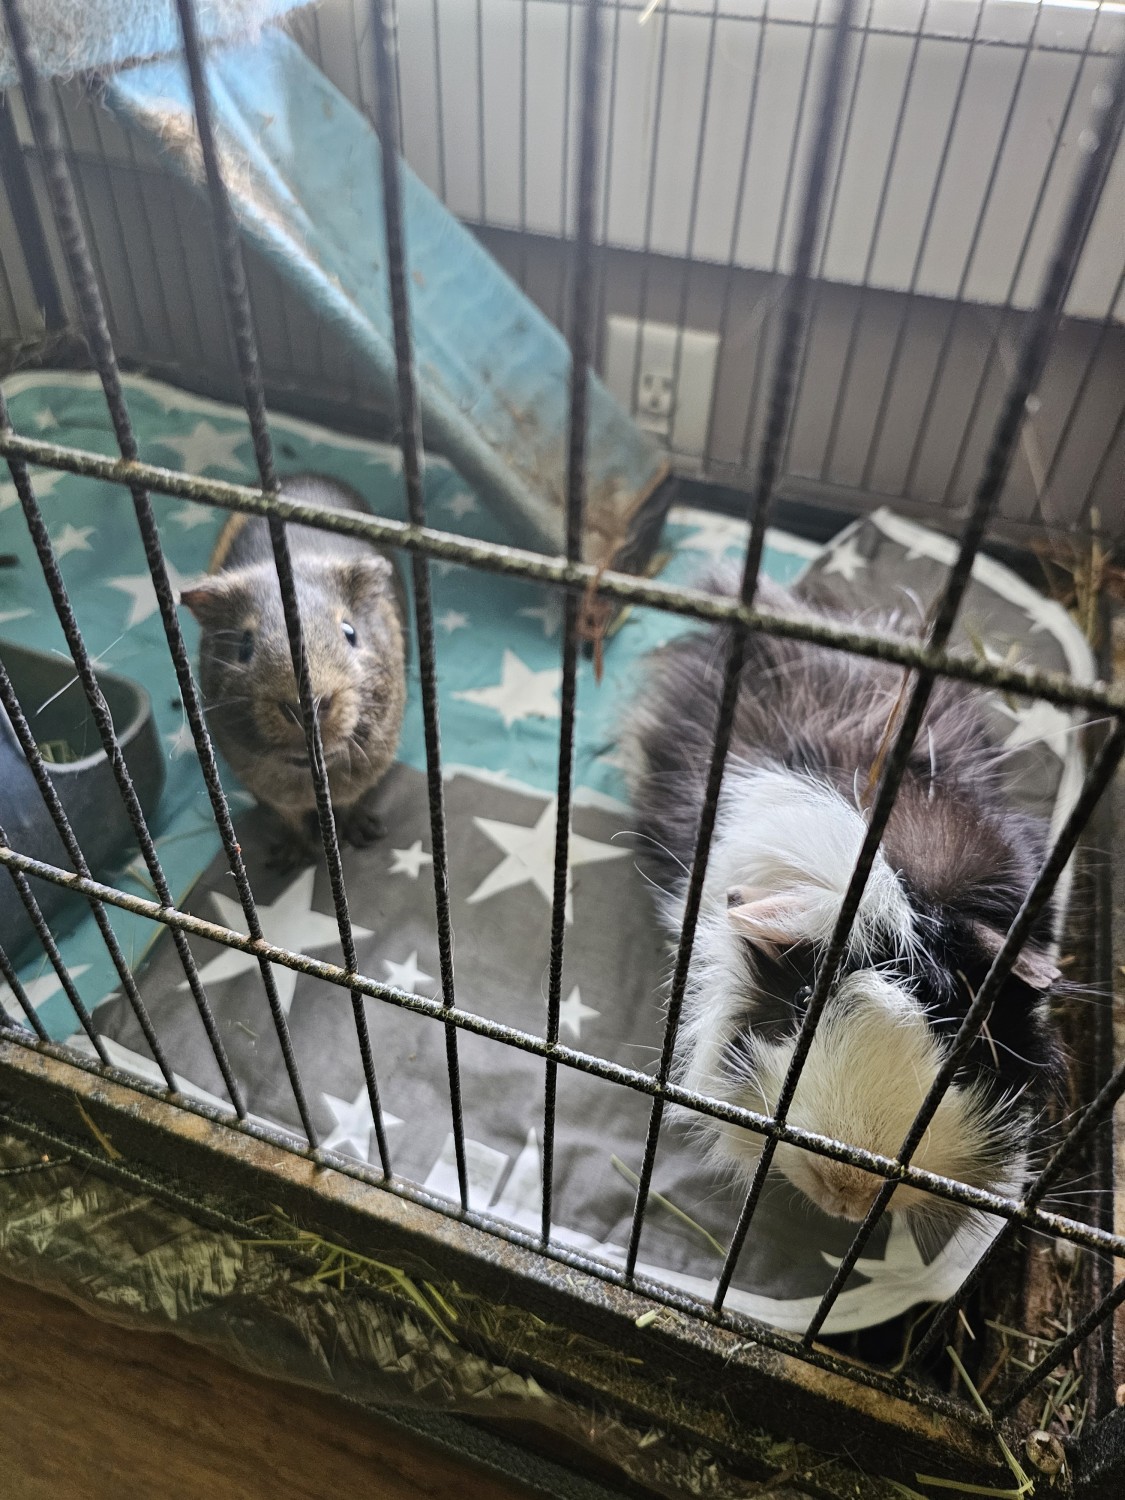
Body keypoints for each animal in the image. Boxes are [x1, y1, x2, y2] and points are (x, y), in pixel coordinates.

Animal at [180, 475, 407, 867]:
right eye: (245, 645)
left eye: (349, 632)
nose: (307, 706)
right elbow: (289, 820)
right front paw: (287, 859)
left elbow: (351, 803)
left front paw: (365, 835)